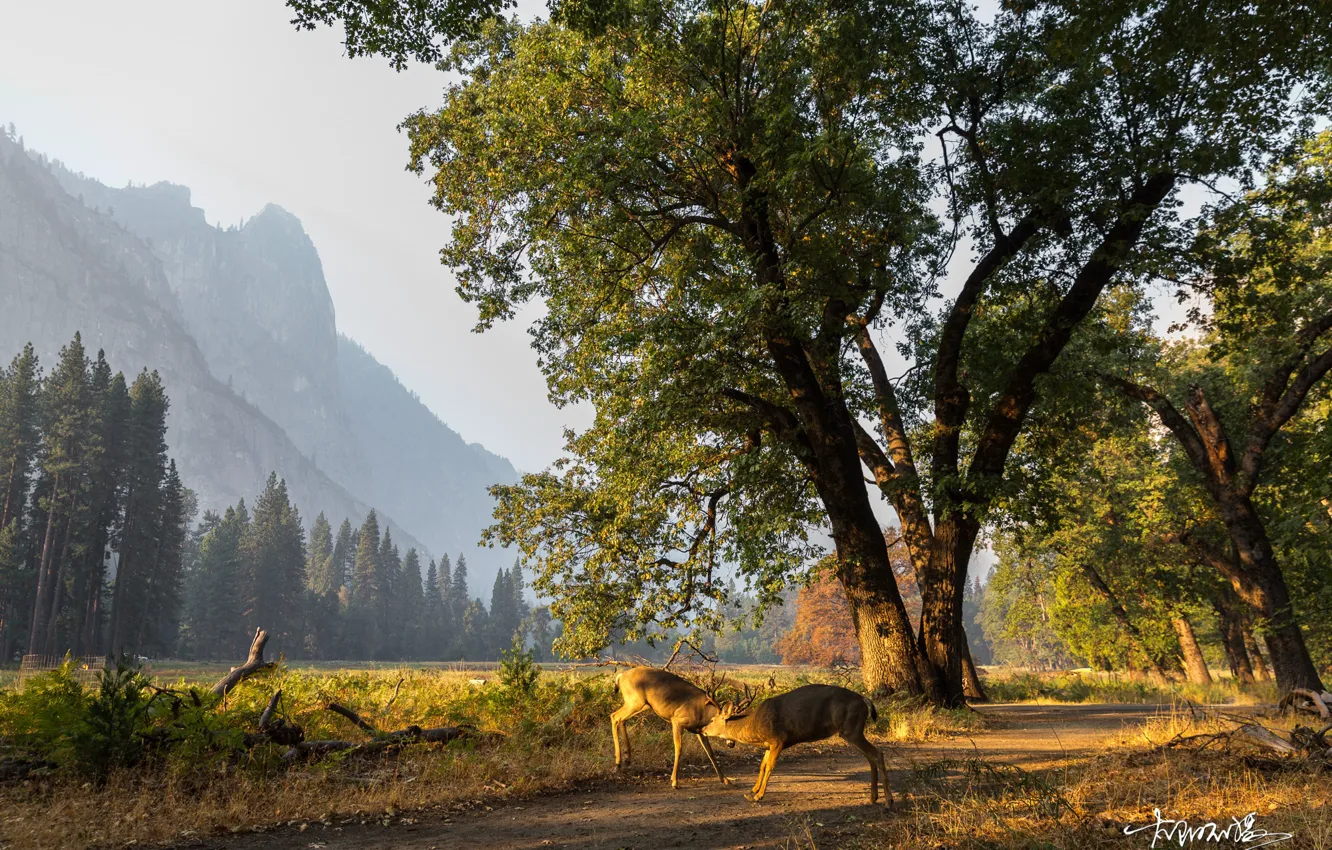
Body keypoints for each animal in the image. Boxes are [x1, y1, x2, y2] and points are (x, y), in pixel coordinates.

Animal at [700, 683, 891, 806]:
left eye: (712, 719)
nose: (702, 729)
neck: (754, 726)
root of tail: (864, 700)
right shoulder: (769, 744)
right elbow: (762, 765)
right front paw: (752, 790)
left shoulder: (778, 739)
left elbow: (770, 766)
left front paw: (758, 796)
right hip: (853, 731)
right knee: (871, 757)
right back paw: (873, 797)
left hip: (851, 729)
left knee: (877, 754)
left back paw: (889, 802)